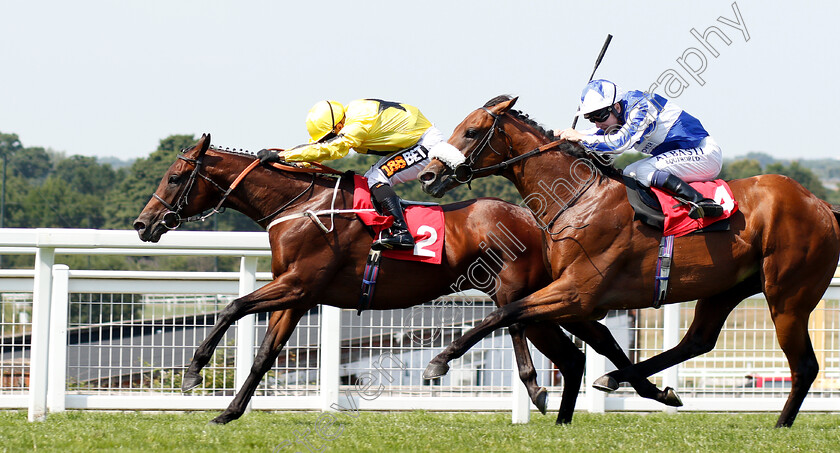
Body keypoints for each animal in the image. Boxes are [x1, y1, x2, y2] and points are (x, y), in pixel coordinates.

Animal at [133, 133, 684, 424]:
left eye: (177, 177)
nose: (144, 224)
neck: (301, 207)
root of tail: (539, 219)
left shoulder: (297, 283)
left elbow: (231, 307)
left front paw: (193, 371)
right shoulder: (299, 294)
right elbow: (265, 354)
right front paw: (228, 412)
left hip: (518, 288)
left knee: (543, 336)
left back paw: (543, 390)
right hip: (548, 295)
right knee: (579, 349)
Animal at [420, 93, 840, 426]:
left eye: (472, 132)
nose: (428, 175)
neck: (577, 198)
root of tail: (820, 204)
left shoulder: (577, 293)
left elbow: (503, 314)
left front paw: (440, 361)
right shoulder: (576, 299)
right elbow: (549, 325)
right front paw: (649, 390)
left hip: (787, 296)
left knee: (805, 366)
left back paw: (781, 426)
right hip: (727, 287)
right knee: (697, 341)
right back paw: (616, 380)